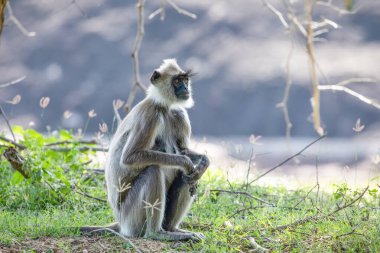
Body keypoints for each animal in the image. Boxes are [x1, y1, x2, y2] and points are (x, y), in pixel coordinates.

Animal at [81, 58, 209, 240]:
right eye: (177, 81)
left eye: (185, 80)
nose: (185, 89)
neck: (164, 107)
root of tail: (120, 223)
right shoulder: (150, 115)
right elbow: (130, 157)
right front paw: (186, 163)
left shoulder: (179, 114)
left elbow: (184, 151)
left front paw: (204, 162)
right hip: (131, 216)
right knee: (153, 170)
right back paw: (157, 233)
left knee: (188, 178)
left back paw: (173, 229)